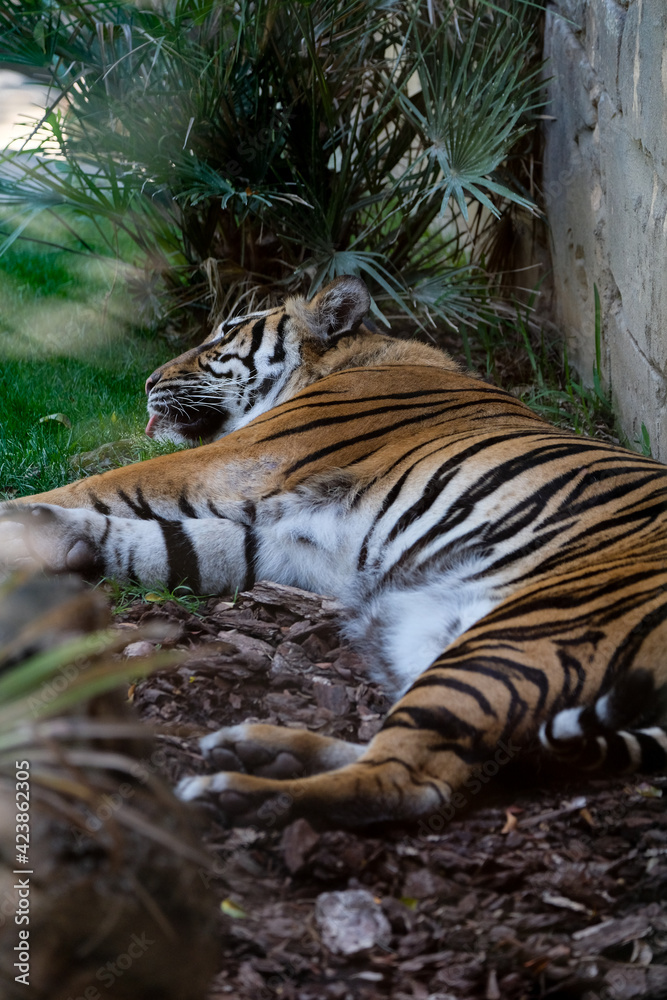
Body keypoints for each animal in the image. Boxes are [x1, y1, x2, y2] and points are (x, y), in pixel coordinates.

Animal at [1, 275, 666, 829]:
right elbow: (165, 543)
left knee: (409, 781)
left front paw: (17, 511)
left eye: (225, 333)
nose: (146, 384)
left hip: (522, 636)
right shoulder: (293, 541)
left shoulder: (236, 463)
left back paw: (240, 790)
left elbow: (108, 483)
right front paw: (47, 535)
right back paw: (255, 747)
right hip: (429, 636)